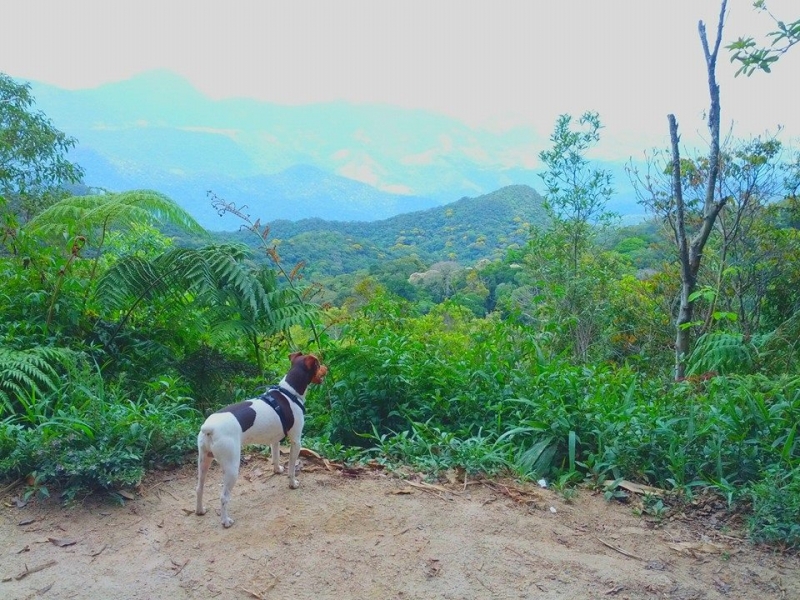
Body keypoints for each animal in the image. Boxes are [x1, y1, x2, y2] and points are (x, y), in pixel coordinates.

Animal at [195, 354, 326, 528]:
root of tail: (209, 428)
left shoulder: (275, 440)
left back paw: (200, 510)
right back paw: (225, 521)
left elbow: (276, 457)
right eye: (318, 364)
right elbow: (292, 468)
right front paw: (292, 483)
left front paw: (277, 470)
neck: (290, 392)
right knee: (223, 497)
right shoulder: (296, 441)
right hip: (231, 467)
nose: (327, 367)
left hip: (204, 460)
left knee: (199, 487)